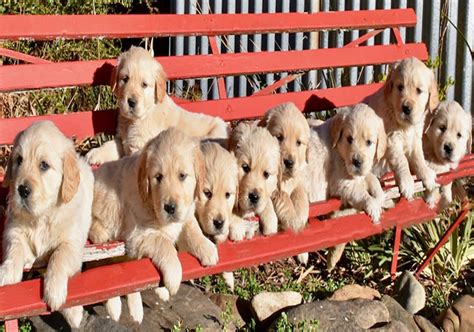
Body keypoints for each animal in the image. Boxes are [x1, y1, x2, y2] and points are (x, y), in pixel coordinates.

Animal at [0, 120, 93, 328]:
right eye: (19, 160)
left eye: (44, 165)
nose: (22, 190)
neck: (42, 216)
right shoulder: (12, 230)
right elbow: (14, 248)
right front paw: (7, 272)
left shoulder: (73, 245)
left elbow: (58, 256)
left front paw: (56, 293)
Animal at [86, 45, 229, 165]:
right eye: (125, 79)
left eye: (144, 85)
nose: (131, 102)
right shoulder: (123, 139)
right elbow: (110, 144)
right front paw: (94, 154)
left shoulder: (140, 147)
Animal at [89, 127, 218, 324]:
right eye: (158, 177)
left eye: (182, 176)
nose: (170, 207)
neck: (151, 203)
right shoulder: (138, 236)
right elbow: (163, 243)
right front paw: (173, 277)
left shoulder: (185, 214)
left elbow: (193, 229)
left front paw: (206, 247)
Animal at [364, 56, 438, 200]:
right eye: (400, 87)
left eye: (419, 90)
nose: (406, 108)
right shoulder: (391, 139)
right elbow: (402, 160)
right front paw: (407, 182)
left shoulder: (415, 137)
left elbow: (418, 156)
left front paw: (425, 172)